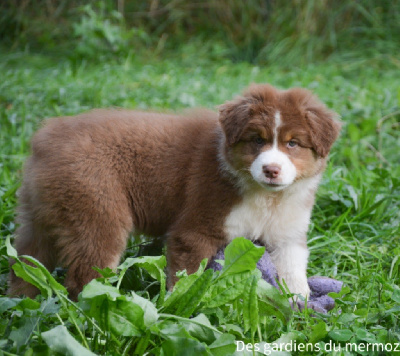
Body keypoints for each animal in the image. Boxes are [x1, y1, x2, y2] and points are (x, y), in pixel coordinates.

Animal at [8, 85, 340, 298]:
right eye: (257, 140)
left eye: (293, 143)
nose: (271, 169)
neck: (265, 196)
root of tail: (47, 137)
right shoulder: (196, 228)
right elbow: (186, 278)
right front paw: (179, 308)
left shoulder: (288, 232)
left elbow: (293, 269)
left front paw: (301, 309)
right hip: (96, 211)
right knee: (84, 277)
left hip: (40, 215)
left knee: (26, 261)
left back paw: (21, 300)